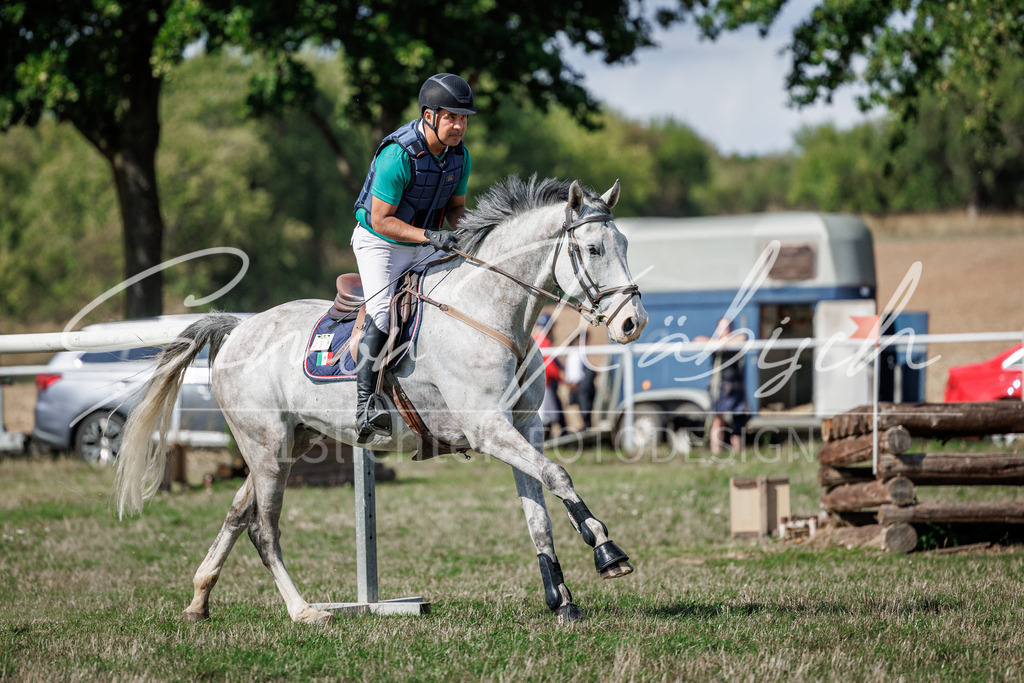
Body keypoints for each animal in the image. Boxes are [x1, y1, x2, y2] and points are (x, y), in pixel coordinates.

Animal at [114, 175, 649, 625]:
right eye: (594, 248)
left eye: (625, 244)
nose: (632, 323)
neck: (490, 314)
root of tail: (238, 328)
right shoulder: (488, 428)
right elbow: (558, 475)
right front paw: (608, 551)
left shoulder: (524, 427)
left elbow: (537, 512)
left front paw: (562, 601)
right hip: (266, 447)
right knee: (263, 530)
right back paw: (304, 612)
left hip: (288, 444)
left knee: (236, 514)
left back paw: (199, 601)